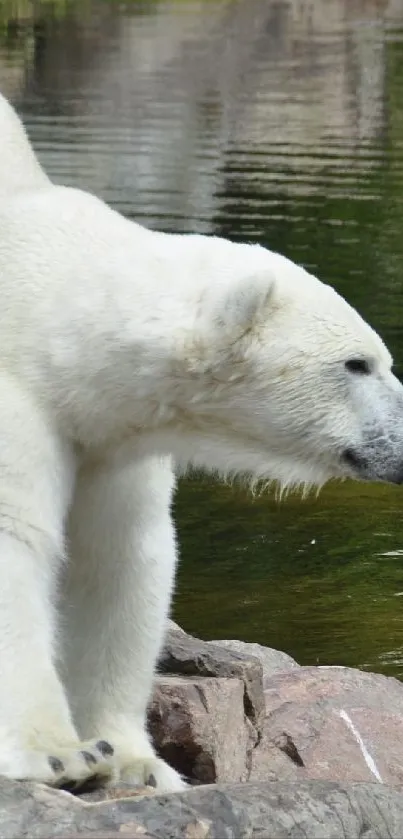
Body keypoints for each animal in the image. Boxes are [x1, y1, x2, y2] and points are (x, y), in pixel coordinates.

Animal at [0, 92, 403, 796]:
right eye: (358, 364)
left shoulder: (111, 443)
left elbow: (119, 562)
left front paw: (134, 761)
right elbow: (14, 539)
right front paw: (58, 756)